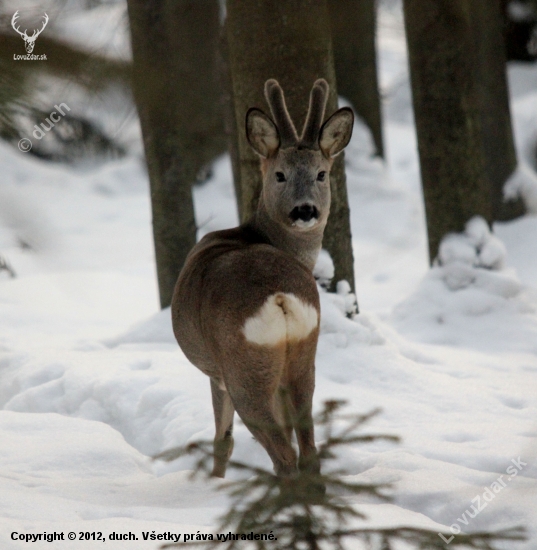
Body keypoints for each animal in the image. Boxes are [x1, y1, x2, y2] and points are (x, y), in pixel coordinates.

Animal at [173, 77, 352, 478]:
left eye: (320, 173)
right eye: (279, 174)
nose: (305, 210)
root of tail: (280, 297)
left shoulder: (216, 373)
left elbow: (222, 438)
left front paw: (216, 481)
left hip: (243, 368)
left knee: (283, 455)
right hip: (303, 354)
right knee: (308, 450)